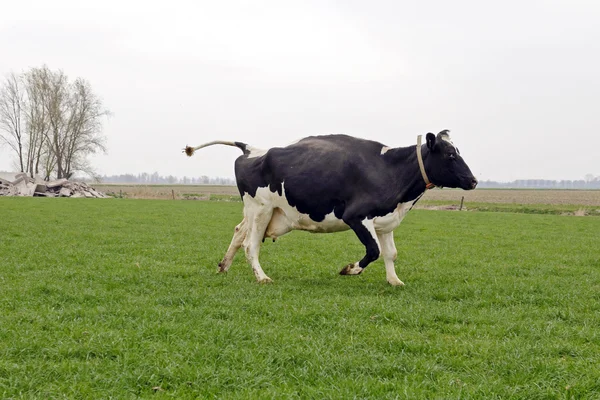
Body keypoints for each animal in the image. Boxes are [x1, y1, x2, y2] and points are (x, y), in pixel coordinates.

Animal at [185, 130, 476, 284]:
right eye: (450, 155)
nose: (473, 180)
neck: (390, 170)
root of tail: (253, 149)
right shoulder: (356, 216)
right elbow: (373, 251)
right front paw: (349, 269)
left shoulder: (386, 221)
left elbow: (390, 253)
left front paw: (394, 281)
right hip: (261, 209)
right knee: (250, 245)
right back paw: (262, 277)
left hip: (256, 212)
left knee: (238, 233)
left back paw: (223, 267)